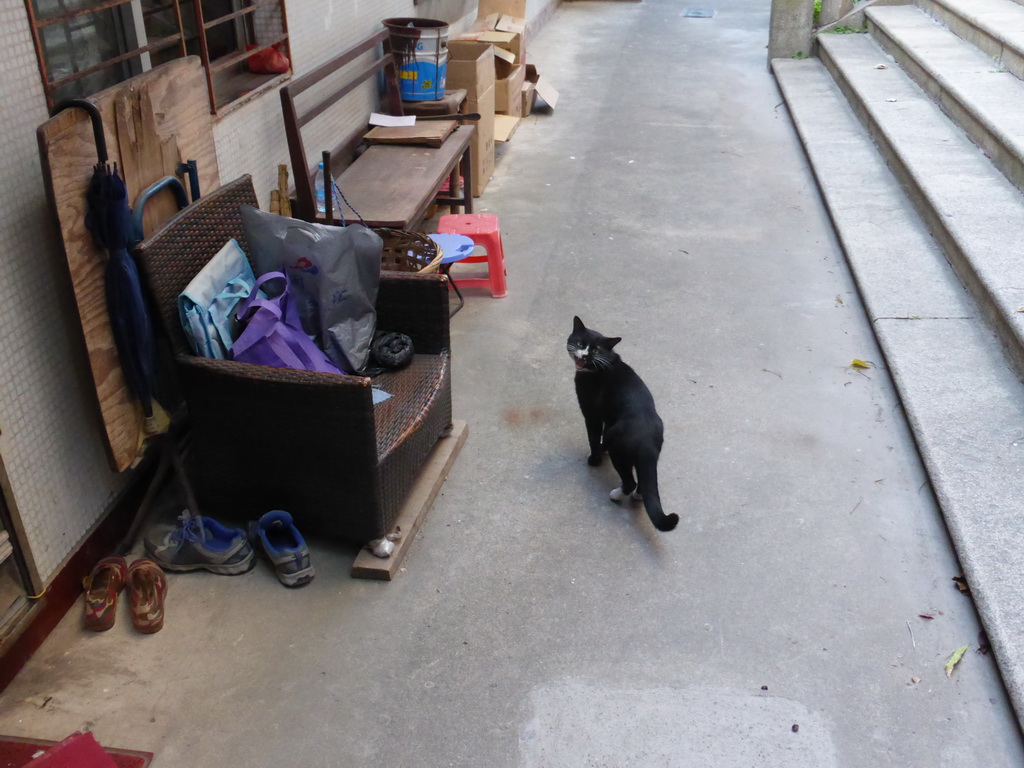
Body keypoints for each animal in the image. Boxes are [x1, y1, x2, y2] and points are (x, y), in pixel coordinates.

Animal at [569, 315, 679, 532]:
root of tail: (647, 440)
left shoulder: (591, 413)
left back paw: (616, 495)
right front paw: (600, 450)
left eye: (596, 350)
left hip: (618, 448)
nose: (584, 354)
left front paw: (594, 459)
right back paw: (638, 496)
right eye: (580, 343)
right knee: (644, 480)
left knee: (630, 481)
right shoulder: (607, 417)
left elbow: (593, 437)